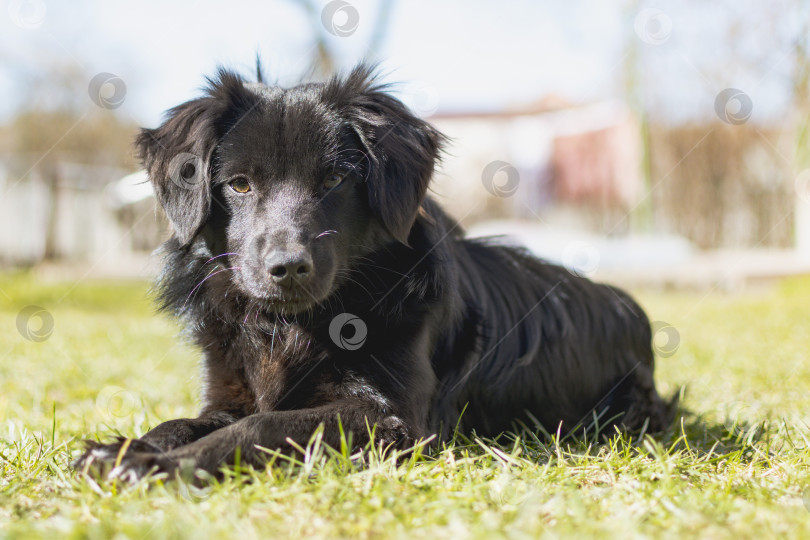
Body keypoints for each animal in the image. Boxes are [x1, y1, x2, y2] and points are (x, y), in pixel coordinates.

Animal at [74, 64, 668, 480]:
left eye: (336, 179)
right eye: (239, 184)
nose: (287, 267)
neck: (293, 327)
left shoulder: (393, 417)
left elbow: (261, 425)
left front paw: (158, 467)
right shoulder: (226, 394)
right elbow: (183, 421)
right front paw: (125, 448)